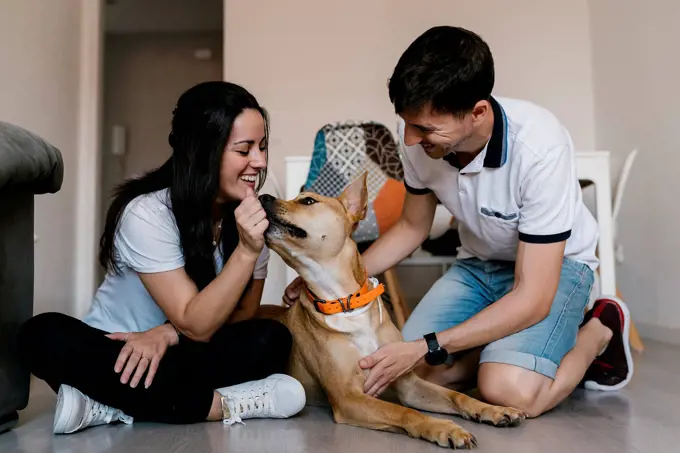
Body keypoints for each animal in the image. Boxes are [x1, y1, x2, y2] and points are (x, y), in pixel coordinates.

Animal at [256, 173, 524, 448]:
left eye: (308, 200)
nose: (262, 197)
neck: (346, 303)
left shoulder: (408, 384)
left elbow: (456, 396)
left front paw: (491, 409)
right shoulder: (347, 397)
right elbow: (404, 411)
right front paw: (444, 428)